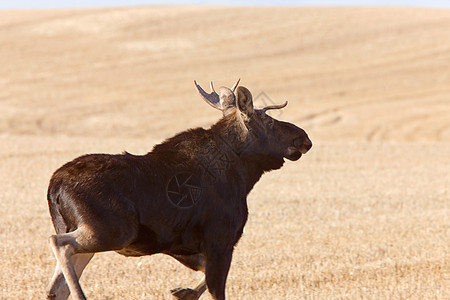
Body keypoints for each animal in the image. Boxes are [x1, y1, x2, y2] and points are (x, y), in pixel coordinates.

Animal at [46, 80, 312, 300]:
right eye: (270, 122)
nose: (304, 138)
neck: (245, 177)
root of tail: (54, 187)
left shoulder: (183, 247)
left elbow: (203, 277)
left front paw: (183, 292)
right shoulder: (220, 240)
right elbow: (215, 288)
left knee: (56, 288)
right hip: (111, 231)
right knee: (59, 244)